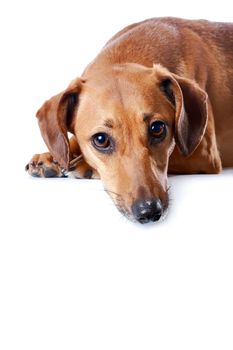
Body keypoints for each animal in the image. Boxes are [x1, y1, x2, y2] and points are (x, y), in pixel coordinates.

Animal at [26, 16, 233, 223]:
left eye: (157, 128)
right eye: (100, 140)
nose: (149, 211)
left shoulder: (205, 154)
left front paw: (82, 164)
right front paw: (51, 156)